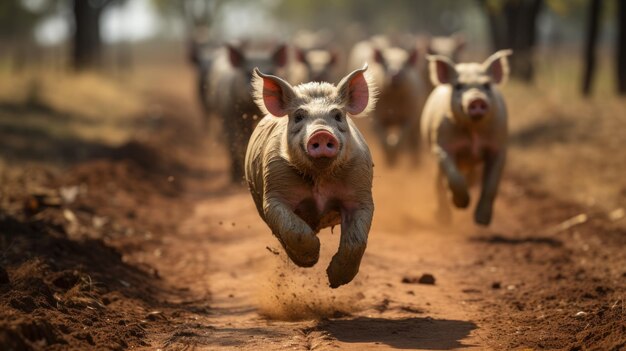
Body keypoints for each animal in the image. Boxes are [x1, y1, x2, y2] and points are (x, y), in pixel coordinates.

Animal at [208, 42, 288, 183]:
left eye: (271, 72)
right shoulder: (229, 113)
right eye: (246, 73)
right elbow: (234, 139)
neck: (250, 110)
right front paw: (236, 179)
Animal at [245, 66, 376, 288]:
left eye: (338, 115)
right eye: (298, 117)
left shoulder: (360, 192)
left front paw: (334, 281)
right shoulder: (274, 190)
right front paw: (311, 259)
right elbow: (293, 229)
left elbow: (357, 241)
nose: (322, 133)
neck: (320, 177)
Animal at [420, 49, 512, 226]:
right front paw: (462, 204)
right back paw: (443, 219)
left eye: (487, 85)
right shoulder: (441, 144)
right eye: (458, 86)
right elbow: (453, 176)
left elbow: (491, 184)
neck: (473, 131)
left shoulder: (499, 147)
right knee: (439, 182)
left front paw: (482, 221)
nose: (476, 99)